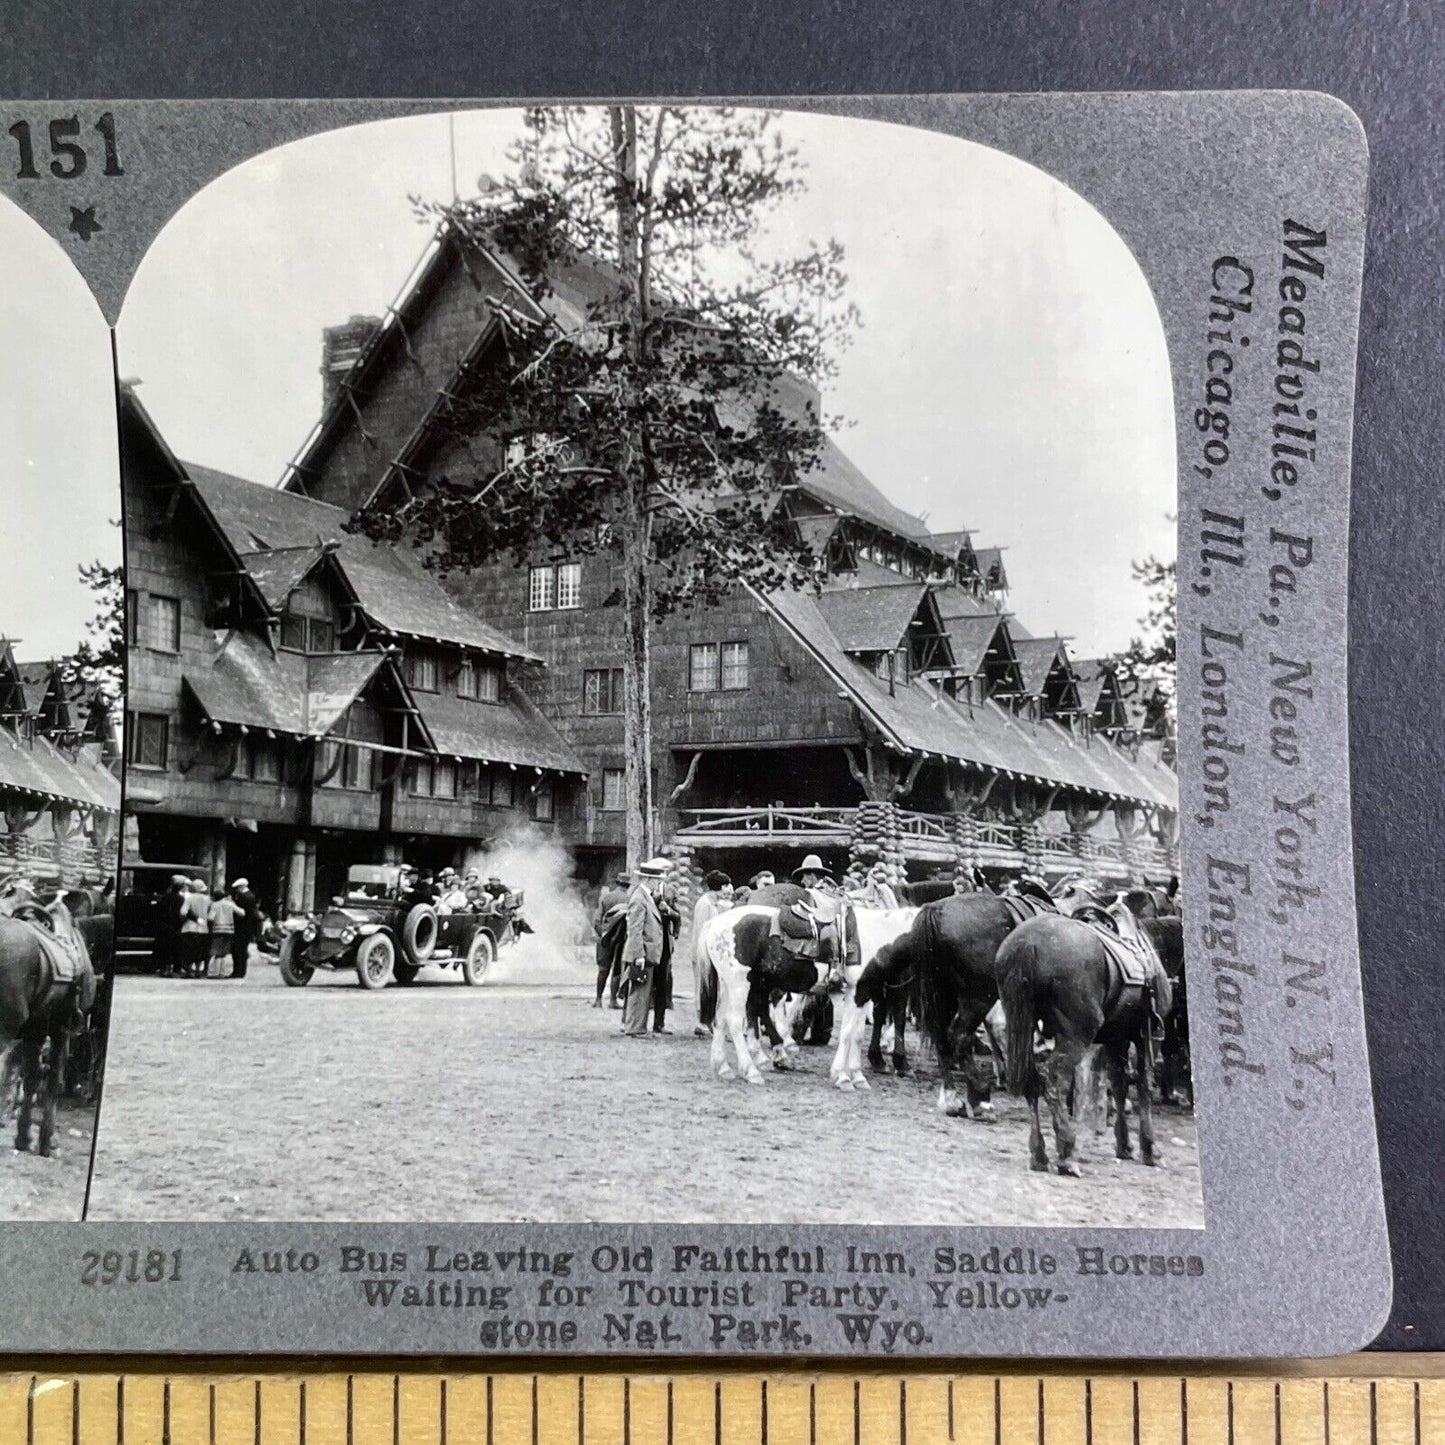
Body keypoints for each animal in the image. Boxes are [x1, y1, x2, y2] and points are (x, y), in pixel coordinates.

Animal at [999, 913, 1167, 1173]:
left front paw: (1124, 1146)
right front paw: (1150, 1150)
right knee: (1052, 1078)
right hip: (1077, 1035)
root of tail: (1027, 942)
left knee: (1031, 1081)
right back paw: (1067, 1153)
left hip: (1022, 1030)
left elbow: (1119, 1086)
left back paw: (1039, 1155)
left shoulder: (1116, 1039)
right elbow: (1144, 1085)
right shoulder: (1148, 1037)